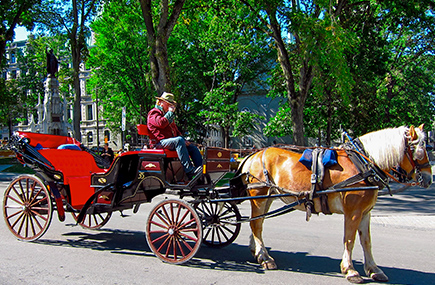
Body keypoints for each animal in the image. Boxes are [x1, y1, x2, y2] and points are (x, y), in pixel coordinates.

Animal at [240, 125, 434, 282]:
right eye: (419, 150)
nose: (428, 178)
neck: (364, 164)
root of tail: (254, 154)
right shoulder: (353, 211)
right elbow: (349, 239)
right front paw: (350, 270)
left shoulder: (366, 212)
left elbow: (366, 241)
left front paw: (373, 269)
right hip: (259, 195)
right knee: (256, 224)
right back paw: (265, 257)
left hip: (268, 196)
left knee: (257, 223)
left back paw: (257, 251)